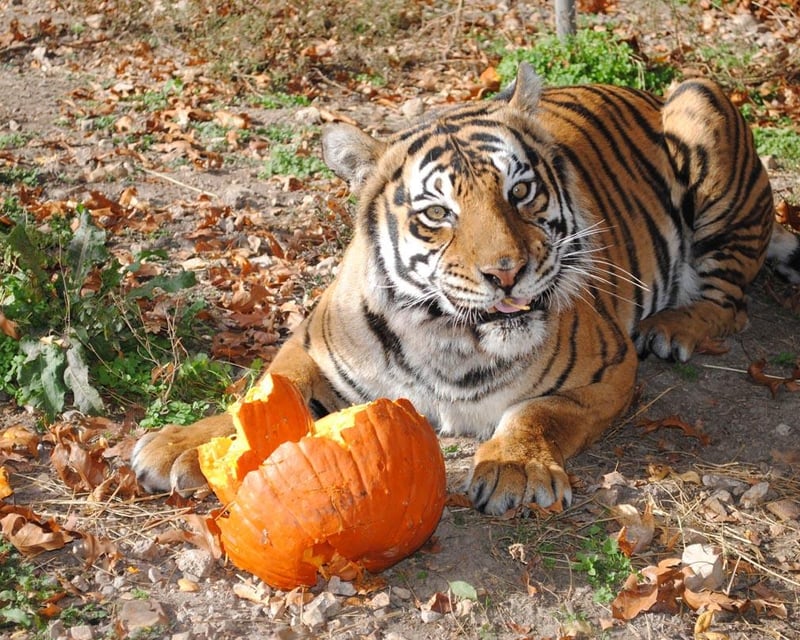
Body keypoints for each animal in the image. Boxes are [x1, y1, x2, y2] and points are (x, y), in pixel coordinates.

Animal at [132, 63, 800, 516]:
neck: (449, 339)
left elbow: (538, 411)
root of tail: (643, 91)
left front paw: (514, 468)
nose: (506, 272)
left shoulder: (609, 370)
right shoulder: (312, 349)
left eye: (520, 192)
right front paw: (179, 446)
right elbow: (268, 395)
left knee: (731, 303)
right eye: (437, 214)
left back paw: (672, 327)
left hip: (700, 103)